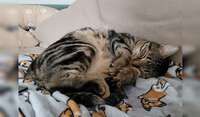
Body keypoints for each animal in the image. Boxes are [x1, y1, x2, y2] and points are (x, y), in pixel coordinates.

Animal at [23, 27, 178, 108]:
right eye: (143, 54)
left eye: (142, 68)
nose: (134, 62)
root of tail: (31, 70)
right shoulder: (118, 39)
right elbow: (126, 52)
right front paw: (120, 64)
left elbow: (132, 74)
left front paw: (124, 74)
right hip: (82, 48)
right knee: (59, 80)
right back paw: (100, 85)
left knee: (60, 86)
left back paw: (108, 85)